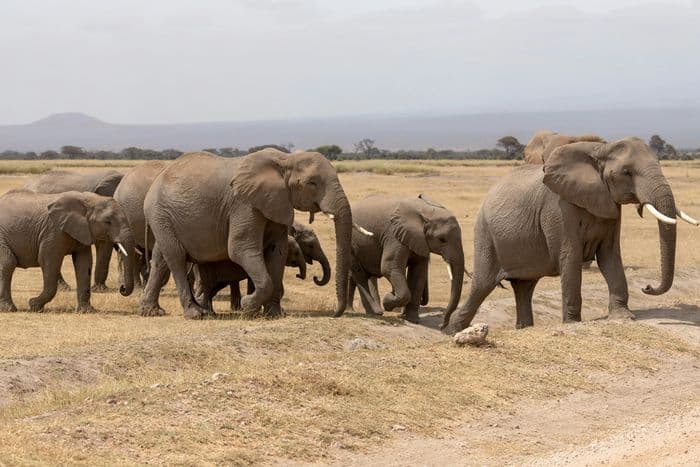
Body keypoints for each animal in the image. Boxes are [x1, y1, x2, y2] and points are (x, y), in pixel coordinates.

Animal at [0, 190, 135, 313]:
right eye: (108, 222)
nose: (122, 288)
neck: (89, 200)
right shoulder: (53, 231)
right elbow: (48, 260)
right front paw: (34, 305)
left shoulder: (82, 231)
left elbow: (84, 263)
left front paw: (86, 311)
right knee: (8, 263)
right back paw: (9, 309)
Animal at [139, 148, 353, 319]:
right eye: (312, 183)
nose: (335, 314)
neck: (285, 160)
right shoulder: (244, 204)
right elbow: (240, 249)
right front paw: (247, 306)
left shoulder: (277, 204)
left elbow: (277, 252)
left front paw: (274, 315)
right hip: (160, 213)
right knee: (176, 257)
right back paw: (196, 314)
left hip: (163, 219)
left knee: (161, 259)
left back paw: (152, 311)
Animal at [337, 194, 465, 324]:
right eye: (442, 239)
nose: (442, 325)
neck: (425, 211)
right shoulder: (394, 236)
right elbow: (389, 267)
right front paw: (388, 300)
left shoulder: (419, 240)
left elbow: (418, 273)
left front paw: (412, 320)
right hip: (350, 242)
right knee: (360, 276)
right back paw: (375, 312)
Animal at [445, 137, 698, 333]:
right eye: (627, 172)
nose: (647, 287)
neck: (600, 150)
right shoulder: (558, 209)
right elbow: (570, 256)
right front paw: (573, 323)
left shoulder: (610, 206)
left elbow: (610, 257)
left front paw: (623, 317)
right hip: (485, 234)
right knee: (482, 284)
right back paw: (452, 330)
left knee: (524, 287)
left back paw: (523, 328)